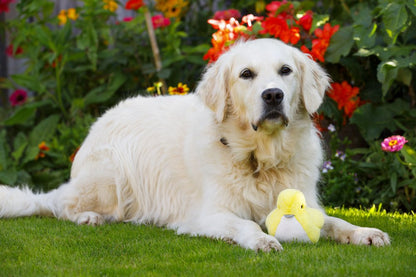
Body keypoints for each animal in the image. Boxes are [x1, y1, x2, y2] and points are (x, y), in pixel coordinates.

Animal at [0, 38, 390, 250]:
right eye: (246, 74)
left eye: (285, 71)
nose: (273, 96)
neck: (259, 159)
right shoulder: (208, 213)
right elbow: (247, 225)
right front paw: (260, 240)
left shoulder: (308, 204)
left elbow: (336, 222)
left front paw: (365, 233)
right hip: (109, 175)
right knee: (59, 204)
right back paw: (89, 217)